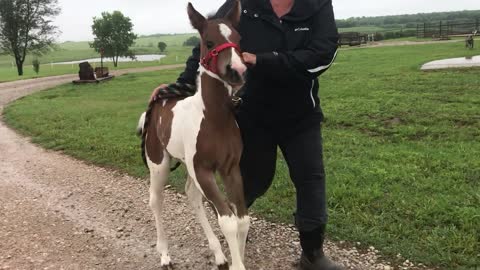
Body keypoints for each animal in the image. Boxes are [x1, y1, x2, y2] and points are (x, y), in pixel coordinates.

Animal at [136, 2, 249, 270]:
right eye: (209, 41)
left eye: (238, 38)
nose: (238, 71)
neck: (214, 118)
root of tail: (157, 101)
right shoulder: (203, 170)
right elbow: (228, 220)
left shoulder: (231, 168)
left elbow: (242, 219)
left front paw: (235, 259)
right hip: (159, 163)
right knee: (156, 200)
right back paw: (165, 255)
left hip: (187, 164)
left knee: (192, 195)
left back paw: (218, 255)